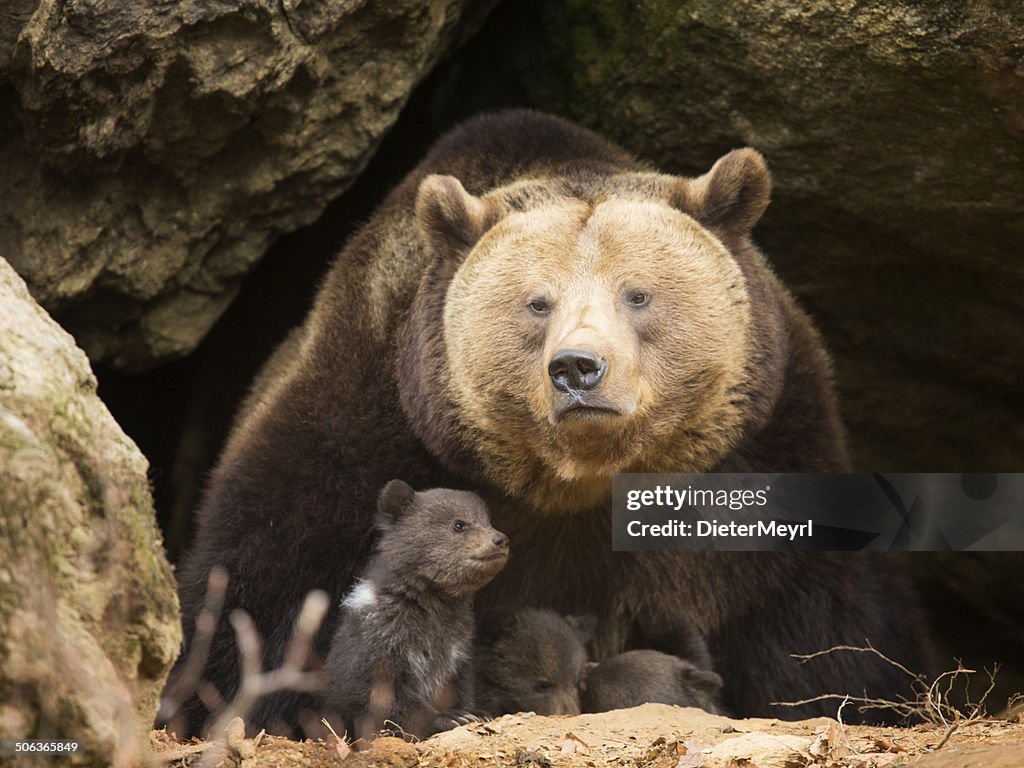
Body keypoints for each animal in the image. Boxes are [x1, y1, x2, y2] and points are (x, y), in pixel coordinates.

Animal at [165, 108, 921, 733]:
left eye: (637, 294)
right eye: (537, 302)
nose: (578, 368)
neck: (578, 484)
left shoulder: (765, 455)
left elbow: (819, 624)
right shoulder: (363, 427)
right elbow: (262, 579)